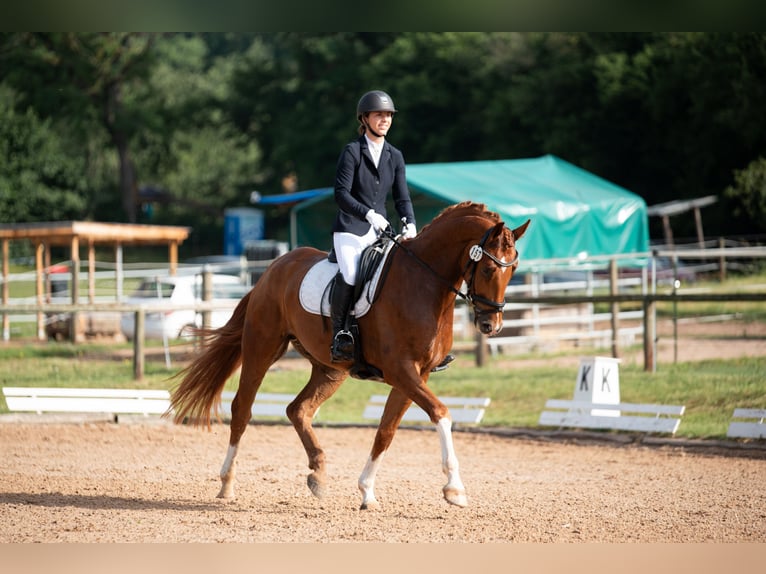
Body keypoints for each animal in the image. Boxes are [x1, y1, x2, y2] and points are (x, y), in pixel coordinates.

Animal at [170, 200, 528, 510]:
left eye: (513, 270)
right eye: (487, 269)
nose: (491, 325)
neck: (425, 284)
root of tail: (271, 271)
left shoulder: (417, 374)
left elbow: (386, 431)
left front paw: (367, 492)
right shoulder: (401, 371)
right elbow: (440, 413)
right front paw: (455, 489)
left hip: (331, 368)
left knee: (298, 409)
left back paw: (318, 474)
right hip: (262, 347)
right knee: (242, 409)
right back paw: (227, 483)